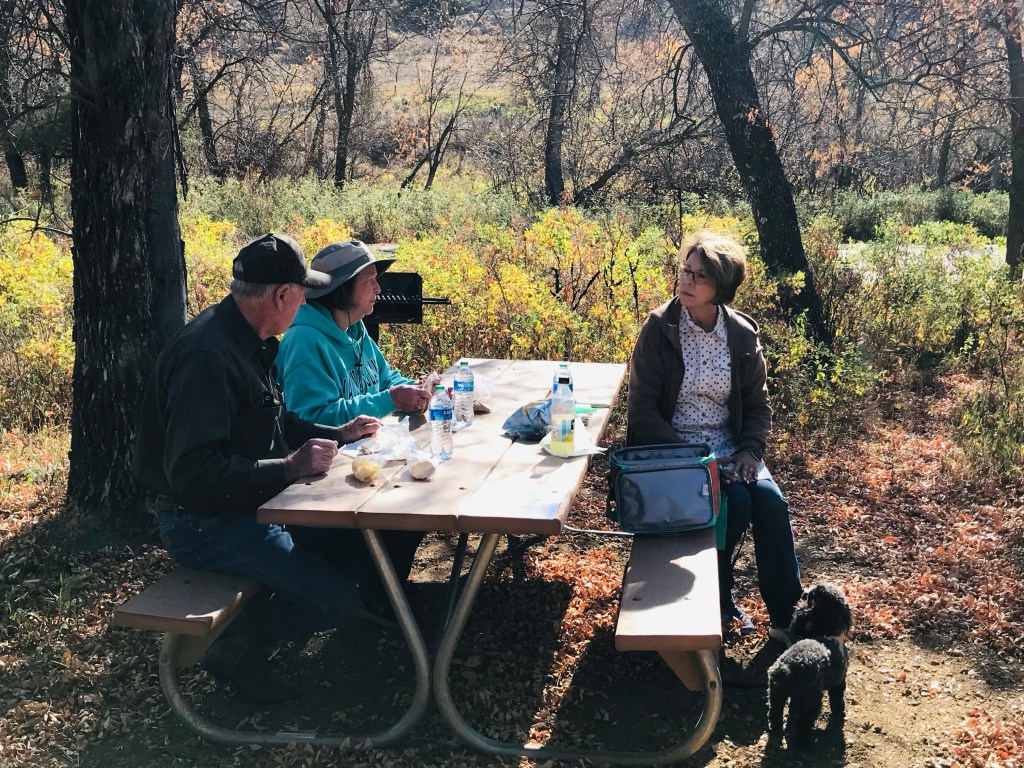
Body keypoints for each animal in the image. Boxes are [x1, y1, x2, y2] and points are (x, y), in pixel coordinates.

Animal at [767, 583, 852, 746]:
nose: (804, 592)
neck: (825, 632)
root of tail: (789, 667)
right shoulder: (839, 682)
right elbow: (837, 699)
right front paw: (839, 712)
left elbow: (793, 708)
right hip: (812, 699)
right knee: (805, 723)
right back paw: (805, 743)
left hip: (776, 693)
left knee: (775, 714)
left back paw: (777, 731)